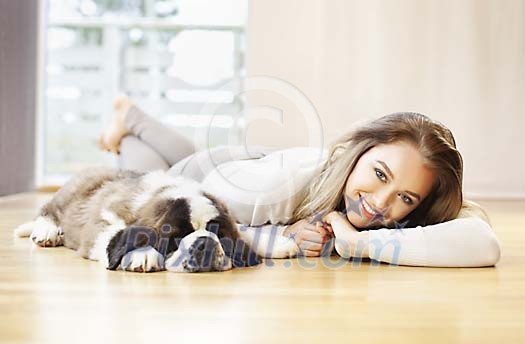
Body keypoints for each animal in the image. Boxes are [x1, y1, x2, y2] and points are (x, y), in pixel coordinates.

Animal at [14, 168, 296, 272]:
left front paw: (278, 243)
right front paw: (142, 254)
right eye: (176, 238)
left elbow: (243, 231)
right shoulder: (102, 221)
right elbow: (111, 236)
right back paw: (47, 231)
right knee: (48, 209)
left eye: (219, 235)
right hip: (68, 195)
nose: (204, 243)